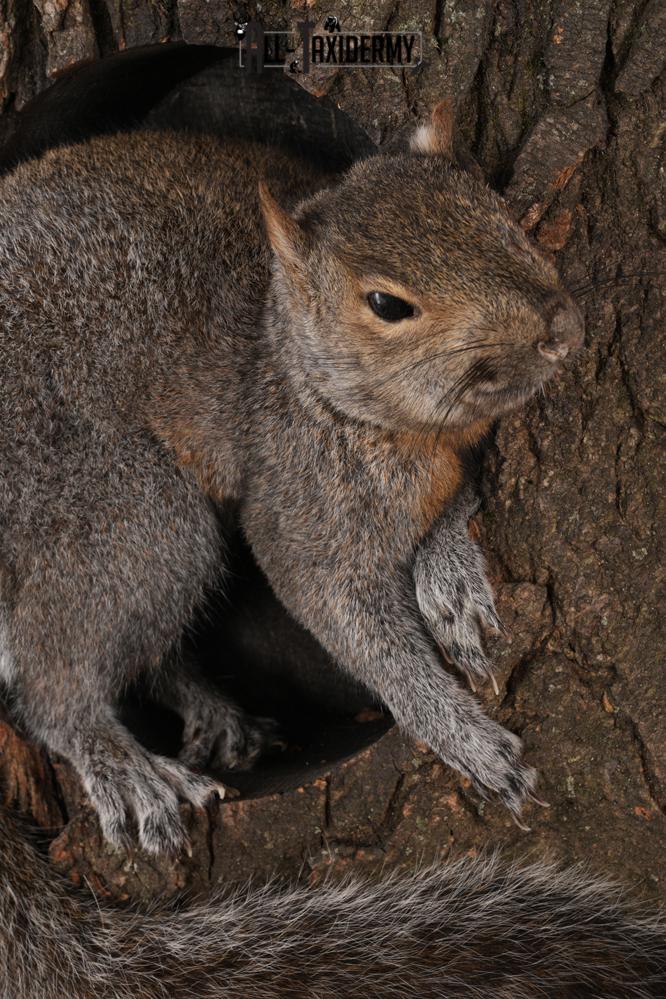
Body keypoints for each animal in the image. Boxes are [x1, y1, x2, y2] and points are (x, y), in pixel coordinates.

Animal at [3, 99, 661, 996]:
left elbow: (458, 509)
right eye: (386, 303)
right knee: (50, 681)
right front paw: (458, 730)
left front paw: (451, 572)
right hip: (125, 514)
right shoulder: (302, 497)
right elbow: (346, 614)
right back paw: (118, 762)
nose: (560, 328)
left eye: (494, 211)